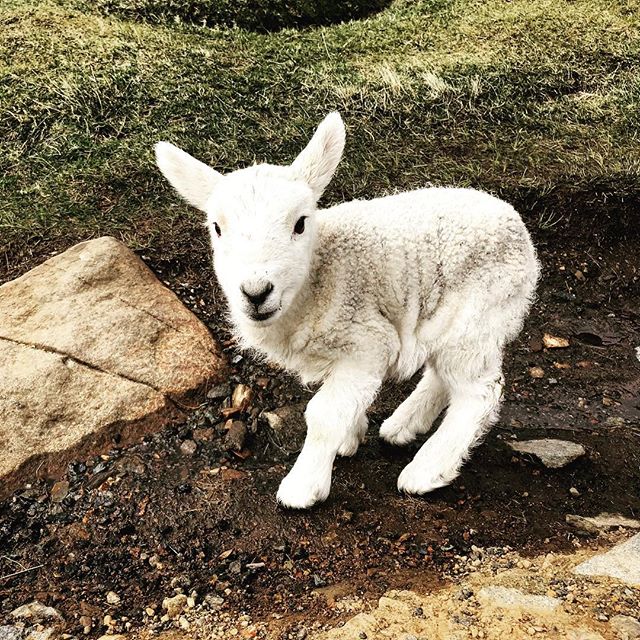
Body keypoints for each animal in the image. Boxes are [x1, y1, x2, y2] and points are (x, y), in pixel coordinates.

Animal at [155, 112, 540, 509]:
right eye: (216, 228)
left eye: (300, 223)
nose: (256, 293)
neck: (318, 277)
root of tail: (515, 223)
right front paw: (349, 438)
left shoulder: (365, 341)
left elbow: (324, 414)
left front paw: (303, 486)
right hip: (448, 319)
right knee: (441, 375)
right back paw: (403, 426)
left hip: (477, 314)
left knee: (478, 392)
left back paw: (426, 470)